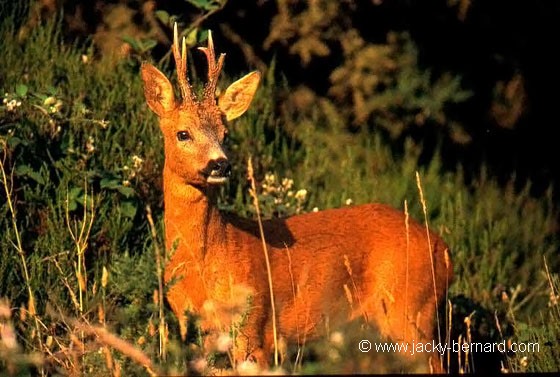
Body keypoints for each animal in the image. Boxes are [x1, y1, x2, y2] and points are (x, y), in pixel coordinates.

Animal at [140, 25, 450, 372]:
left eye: (226, 134)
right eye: (183, 133)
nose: (220, 164)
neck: (205, 264)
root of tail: (444, 250)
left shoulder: (255, 326)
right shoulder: (192, 328)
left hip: (411, 311)